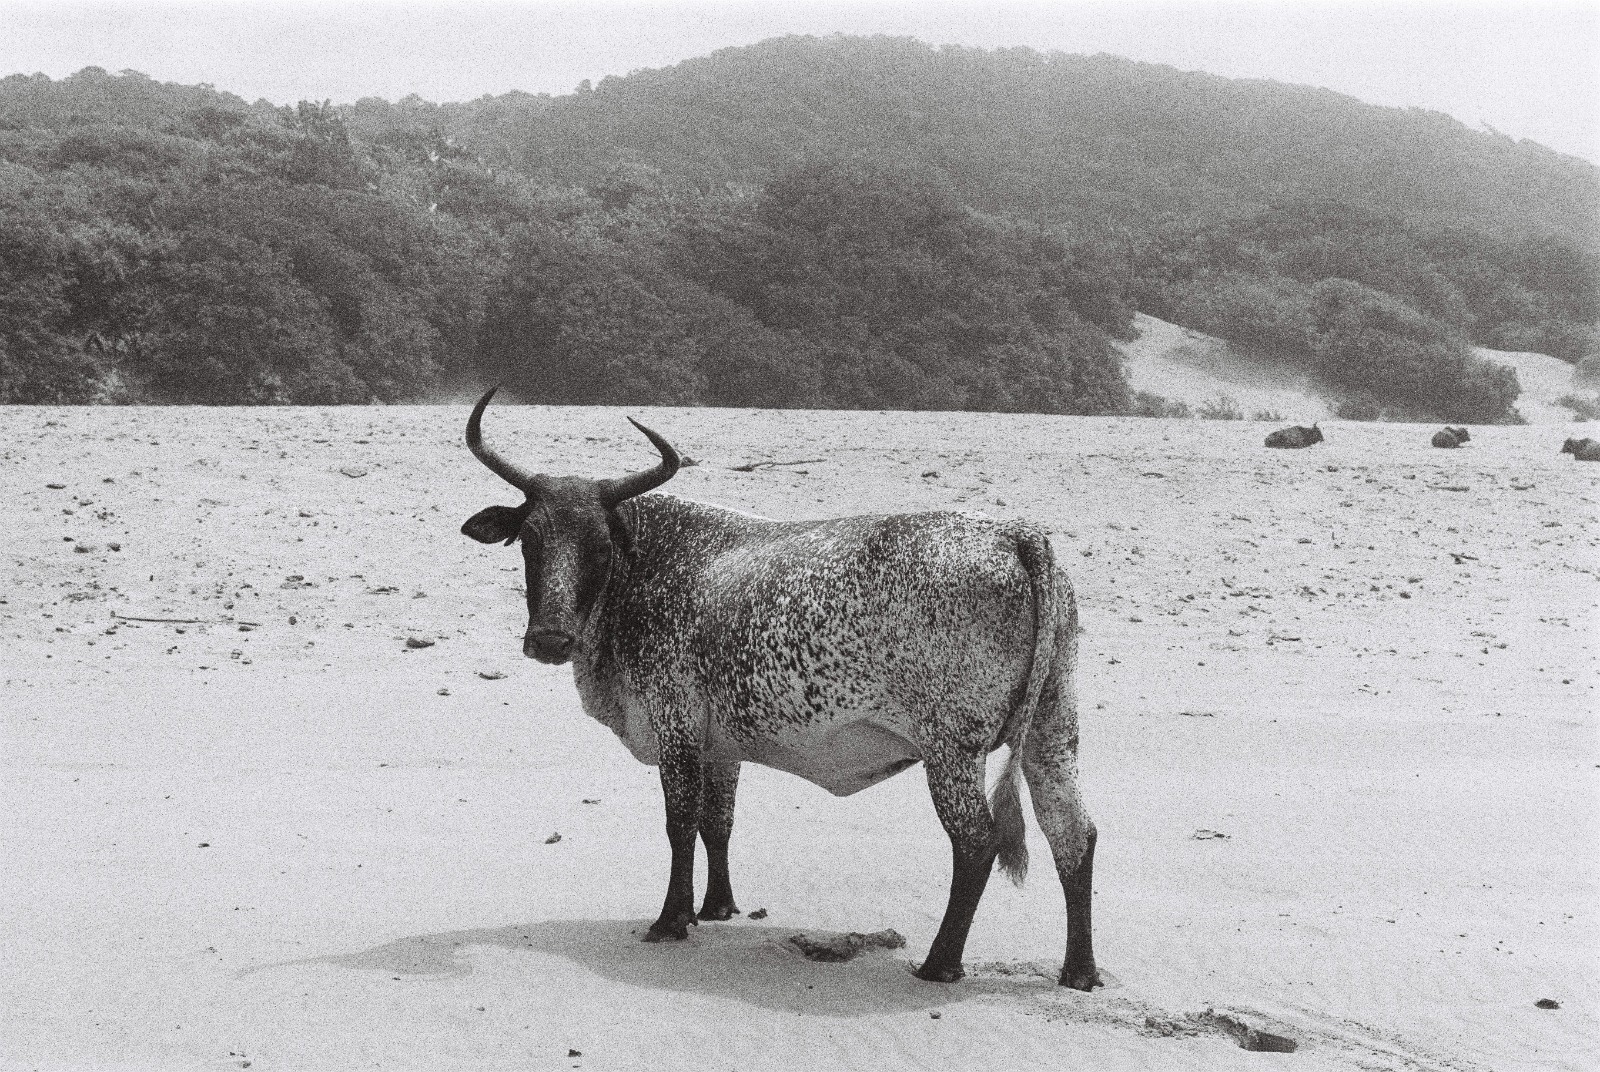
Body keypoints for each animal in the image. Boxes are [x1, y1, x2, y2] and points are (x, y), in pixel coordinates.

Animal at [458, 388, 1099, 989]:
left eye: (599, 544)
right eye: (529, 539)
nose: (549, 639)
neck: (645, 570)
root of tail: (1015, 535)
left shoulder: (675, 724)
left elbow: (680, 822)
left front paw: (672, 919)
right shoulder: (719, 745)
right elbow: (717, 822)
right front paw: (717, 907)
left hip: (952, 749)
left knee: (977, 844)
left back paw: (940, 963)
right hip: (1052, 729)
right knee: (1073, 834)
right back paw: (1080, 970)